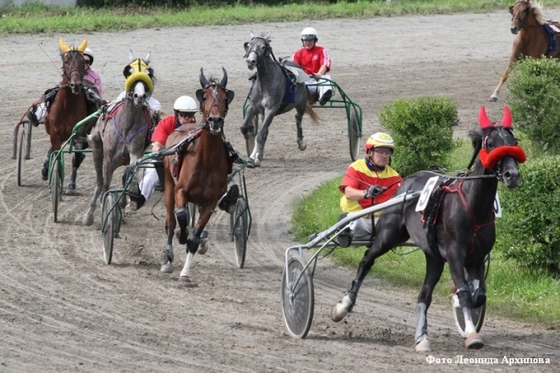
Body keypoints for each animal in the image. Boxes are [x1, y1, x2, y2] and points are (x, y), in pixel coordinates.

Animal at [43, 38, 97, 192]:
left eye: (82, 61)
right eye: (66, 61)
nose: (75, 85)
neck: (66, 106)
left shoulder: (79, 134)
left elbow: (76, 158)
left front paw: (70, 184)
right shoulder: (55, 135)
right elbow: (56, 154)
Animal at [82, 51, 155, 227]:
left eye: (148, 73)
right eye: (129, 71)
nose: (139, 96)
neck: (126, 125)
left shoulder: (135, 152)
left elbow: (132, 172)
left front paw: (127, 201)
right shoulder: (109, 159)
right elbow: (106, 184)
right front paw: (105, 211)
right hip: (97, 149)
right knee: (99, 182)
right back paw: (89, 214)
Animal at [160, 67, 234, 284]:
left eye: (225, 98)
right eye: (205, 96)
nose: (215, 120)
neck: (206, 160)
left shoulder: (210, 201)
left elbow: (195, 237)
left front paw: (185, 273)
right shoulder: (181, 190)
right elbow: (182, 216)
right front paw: (181, 235)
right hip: (168, 183)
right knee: (171, 220)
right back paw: (168, 258)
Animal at [241, 32, 320, 167]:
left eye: (263, 47)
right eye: (249, 45)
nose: (250, 61)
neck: (265, 83)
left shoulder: (271, 109)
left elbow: (261, 134)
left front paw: (254, 158)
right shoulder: (253, 107)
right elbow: (245, 128)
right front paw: (254, 154)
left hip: (301, 104)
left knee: (298, 118)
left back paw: (301, 143)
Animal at [330, 106, 528, 350]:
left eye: (513, 141)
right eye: (490, 144)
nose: (512, 175)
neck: (473, 206)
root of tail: (406, 182)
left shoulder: (477, 257)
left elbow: (478, 295)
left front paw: (465, 319)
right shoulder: (454, 253)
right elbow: (464, 293)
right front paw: (472, 334)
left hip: (433, 256)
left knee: (424, 295)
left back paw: (422, 338)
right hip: (389, 235)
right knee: (367, 259)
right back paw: (343, 306)